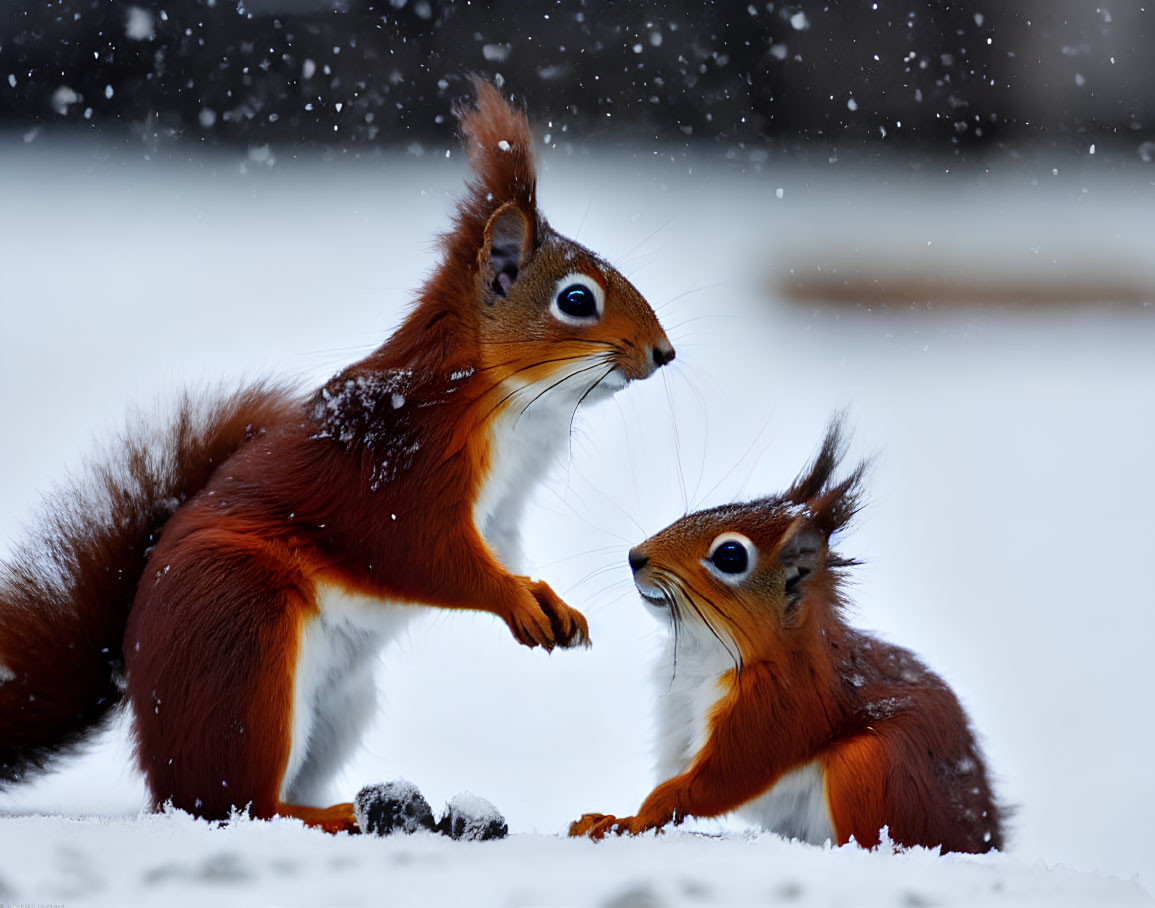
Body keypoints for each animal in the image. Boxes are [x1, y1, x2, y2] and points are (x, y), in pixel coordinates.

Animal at [0, 81, 674, 831]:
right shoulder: (403, 474)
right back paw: (328, 816)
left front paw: (548, 599)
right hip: (246, 648)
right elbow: (426, 555)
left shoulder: (501, 511)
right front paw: (512, 600)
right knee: (236, 802)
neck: (507, 402)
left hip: (341, 703)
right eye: (576, 300)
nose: (664, 353)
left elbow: (504, 550)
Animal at [572, 420, 1007, 854]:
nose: (635, 557)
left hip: (869, 766)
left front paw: (631, 820)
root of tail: (981, 839)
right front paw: (610, 818)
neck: (707, 653)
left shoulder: (777, 703)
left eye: (730, 556)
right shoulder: (678, 715)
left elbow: (724, 777)